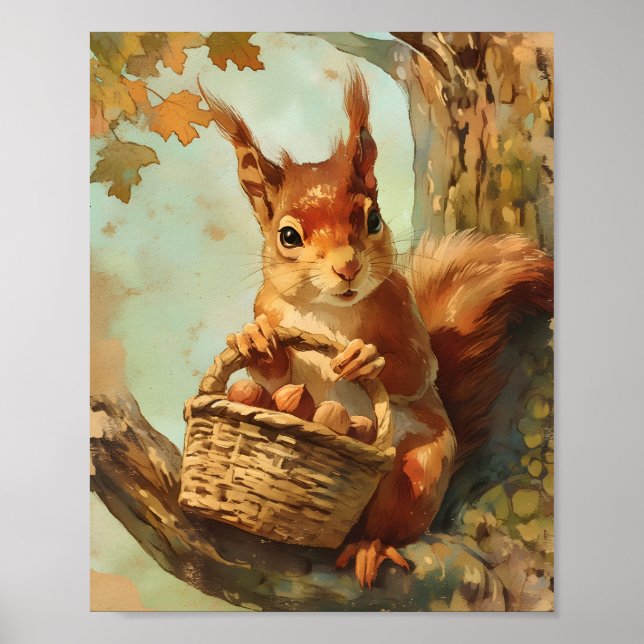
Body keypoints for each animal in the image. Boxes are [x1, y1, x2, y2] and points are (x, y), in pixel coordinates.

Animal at [199, 71, 554, 588]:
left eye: (372, 219)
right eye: (288, 236)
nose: (348, 267)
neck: (329, 312)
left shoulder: (402, 310)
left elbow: (418, 370)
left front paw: (365, 358)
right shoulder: (269, 309)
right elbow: (277, 376)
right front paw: (256, 343)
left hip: (418, 473)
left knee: (390, 522)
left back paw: (370, 546)